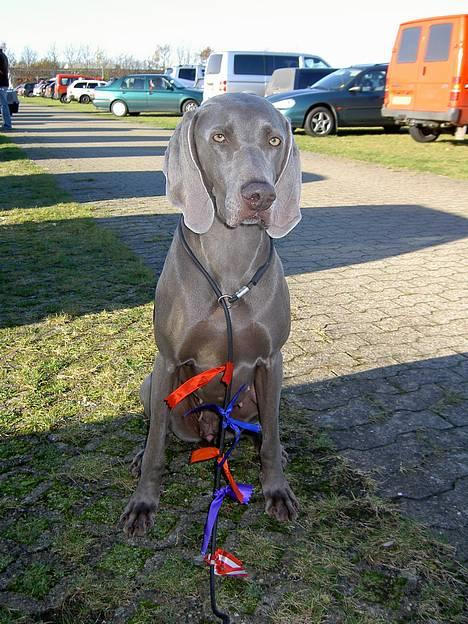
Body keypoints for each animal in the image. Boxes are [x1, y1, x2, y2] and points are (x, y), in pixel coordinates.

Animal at [120, 91, 302, 536]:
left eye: (275, 141)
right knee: (159, 430)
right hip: (151, 386)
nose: (261, 196)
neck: (228, 267)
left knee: (264, 431)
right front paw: (143, 502)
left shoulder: (272, 361)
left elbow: (270, 437)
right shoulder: (167, 360)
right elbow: (156, 444)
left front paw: (276, 489)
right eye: (219, 137)